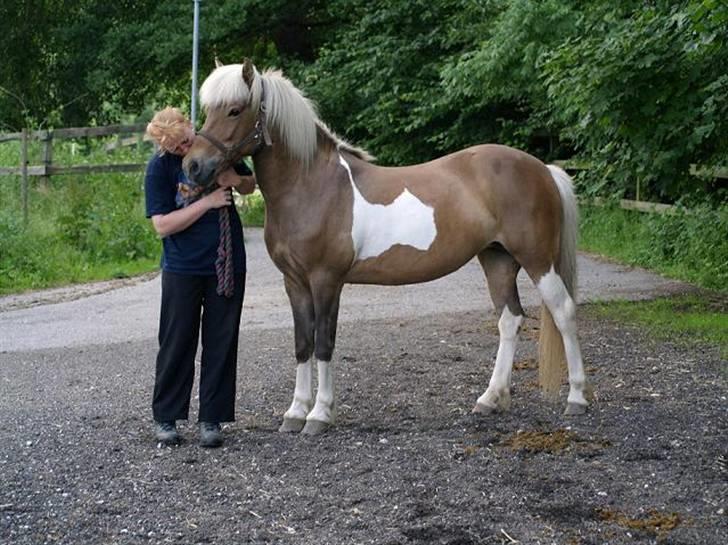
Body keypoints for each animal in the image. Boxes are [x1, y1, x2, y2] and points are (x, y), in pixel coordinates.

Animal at [183, 58, 592, 434]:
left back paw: (576, 399)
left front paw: (319, 415)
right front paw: (295, 412)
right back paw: (490, 399)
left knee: (564, 312)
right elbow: (302, 343)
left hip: (537, 259)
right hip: (497, 259)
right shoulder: (294, 282)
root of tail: (543, 168)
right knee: (509, 319)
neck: (312, 186)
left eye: (235, 110)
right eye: (209, 109)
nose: (192, 166)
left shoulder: (326, 280)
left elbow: (324, 343)